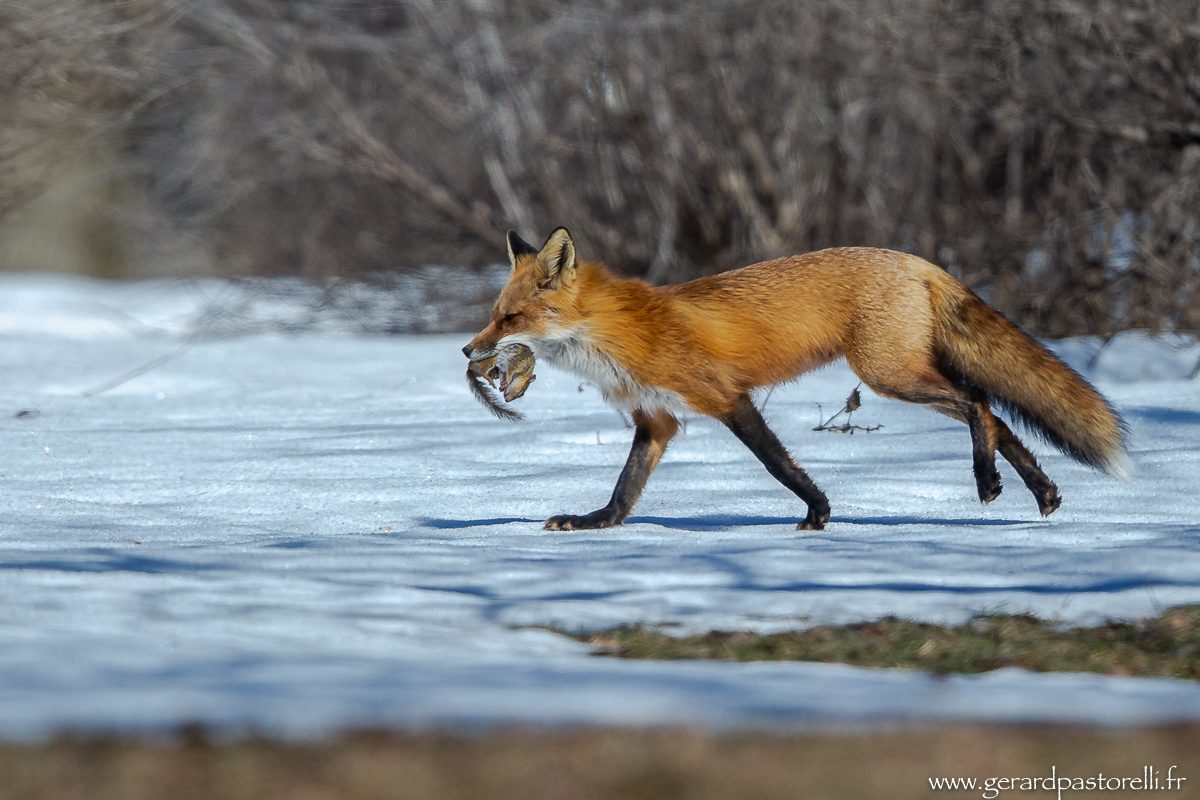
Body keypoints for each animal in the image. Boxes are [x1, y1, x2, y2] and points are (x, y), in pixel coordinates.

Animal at [462, 228, 1130, 532]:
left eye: (510, 319)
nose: (468, 350)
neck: (614, 332)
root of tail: (914, 259)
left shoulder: (725, 397)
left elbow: (777, 464)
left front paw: (818, 513)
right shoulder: (657, 420)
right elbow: (625, 490)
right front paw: (595, 524)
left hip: (887, 375)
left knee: (978, 399)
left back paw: (988, 479)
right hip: (898, 374)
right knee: (996, 414)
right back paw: (1041, 492)